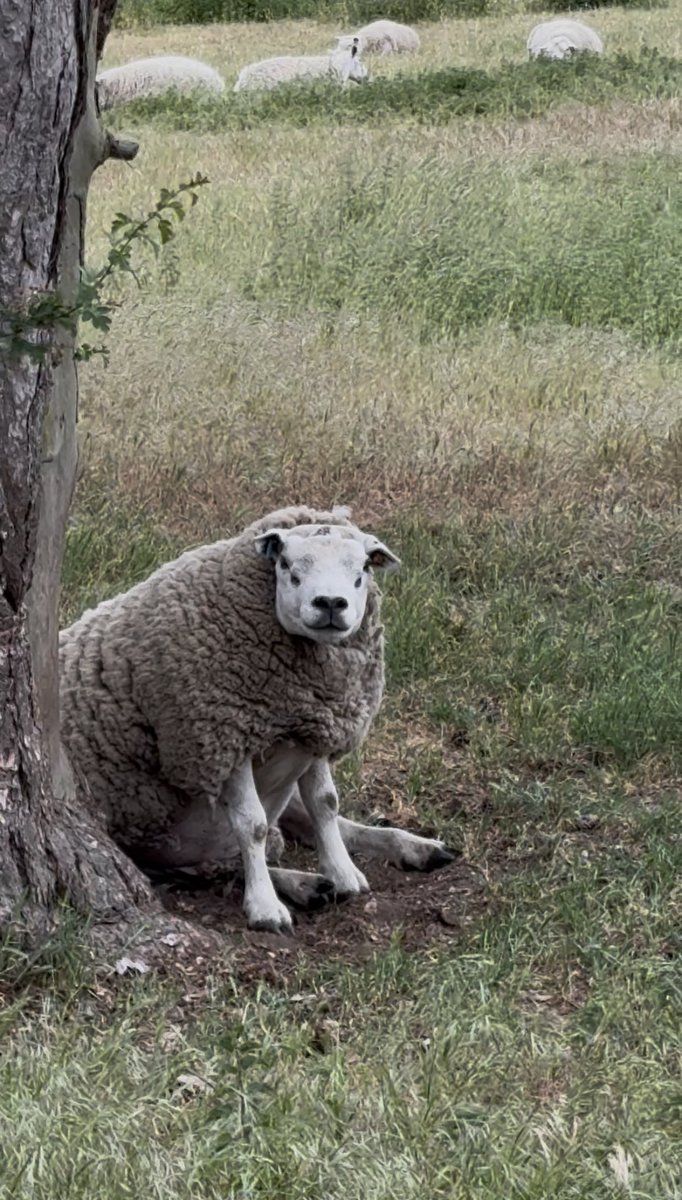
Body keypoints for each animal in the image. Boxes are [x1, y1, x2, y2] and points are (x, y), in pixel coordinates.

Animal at [60, 505, 454, 934]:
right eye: (286, 565)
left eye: (363, 567)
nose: (331, 603)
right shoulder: (222, 739)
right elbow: (254, 826)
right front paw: (266, 907)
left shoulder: (315, 729)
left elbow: (326, 805)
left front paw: (343, 872)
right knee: (217, 863)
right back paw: (302, 884)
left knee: (313, 826)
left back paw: (414, 848)